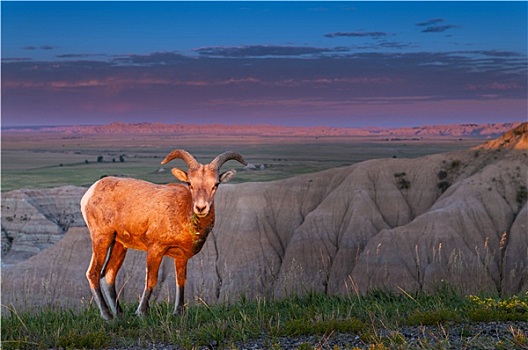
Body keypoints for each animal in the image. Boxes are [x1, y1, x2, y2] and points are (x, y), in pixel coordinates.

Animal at [80, 149, 248, 318]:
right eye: (190, 184)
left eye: (215, 184)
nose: (201, 208)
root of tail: (90, 193)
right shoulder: (155, 250)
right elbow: (151, 280)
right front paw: (141, 313)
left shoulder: (181, 257)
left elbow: (181, 281)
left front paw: (178, 312)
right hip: (102, 238)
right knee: (93, 273)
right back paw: (107, 315)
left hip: (119, 245)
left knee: (108, 275)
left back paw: (119, 315)